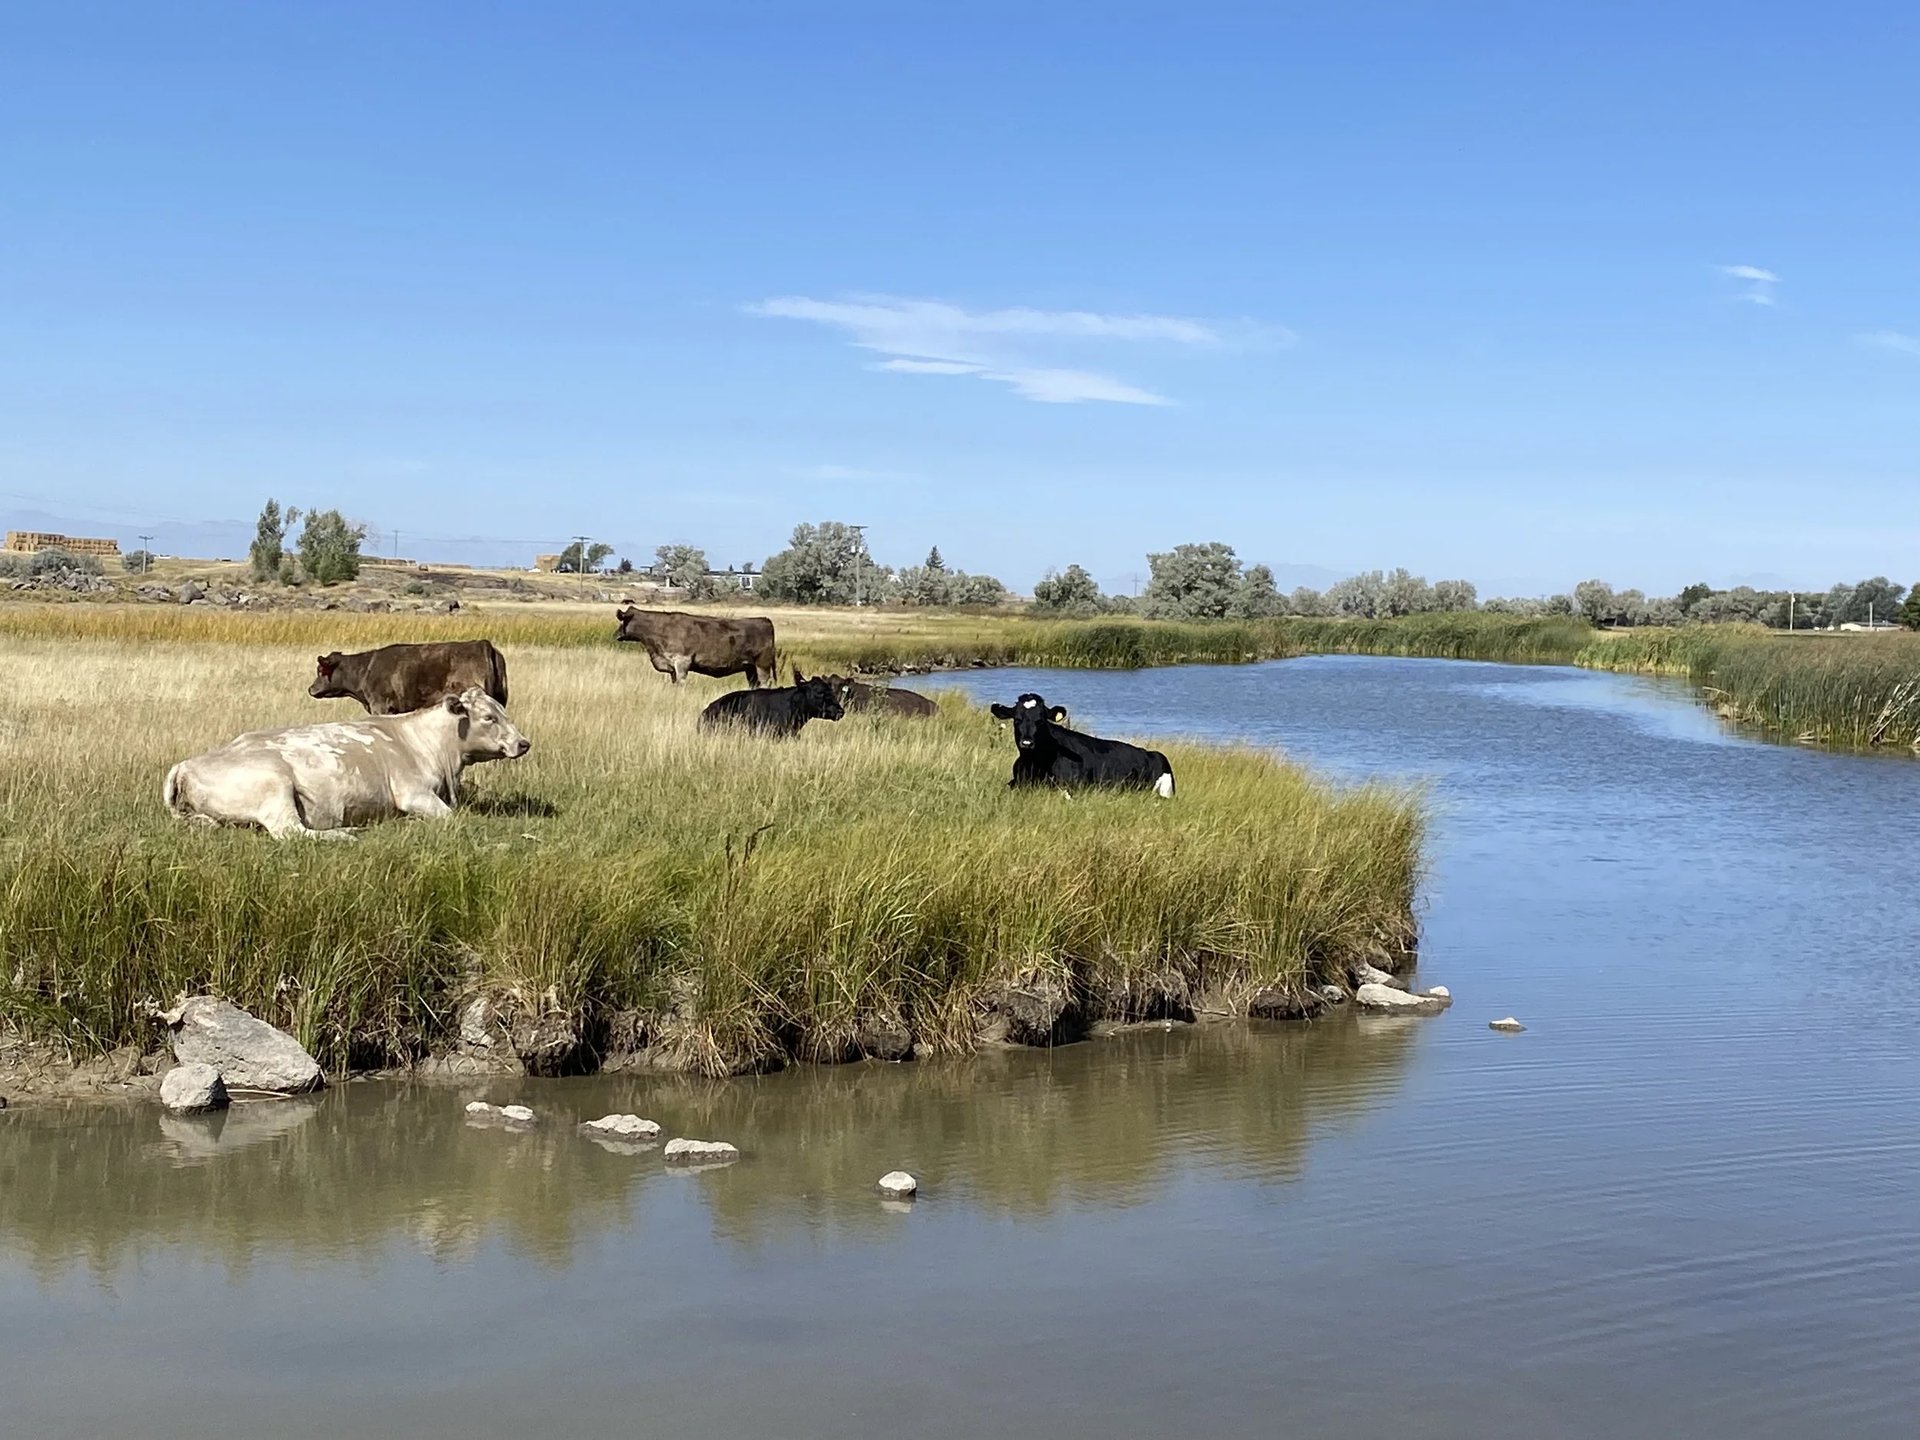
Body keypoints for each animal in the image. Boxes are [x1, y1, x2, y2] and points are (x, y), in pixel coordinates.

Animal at [163, 688, 532, 840]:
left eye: (503, 710)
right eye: (489, 717)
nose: (523, 743)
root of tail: (187, 764)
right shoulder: (413, 793)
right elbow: (451, 817)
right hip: (274, 786)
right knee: (290, 832)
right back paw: (345, 833)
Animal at [614, 606, 776, 687]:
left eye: (622, 621)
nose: (615, 634)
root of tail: (765, 620)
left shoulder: (682, 661)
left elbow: (681, 683)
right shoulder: (672, 667)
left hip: (762, 664)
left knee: (765, 683)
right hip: (750, 668)